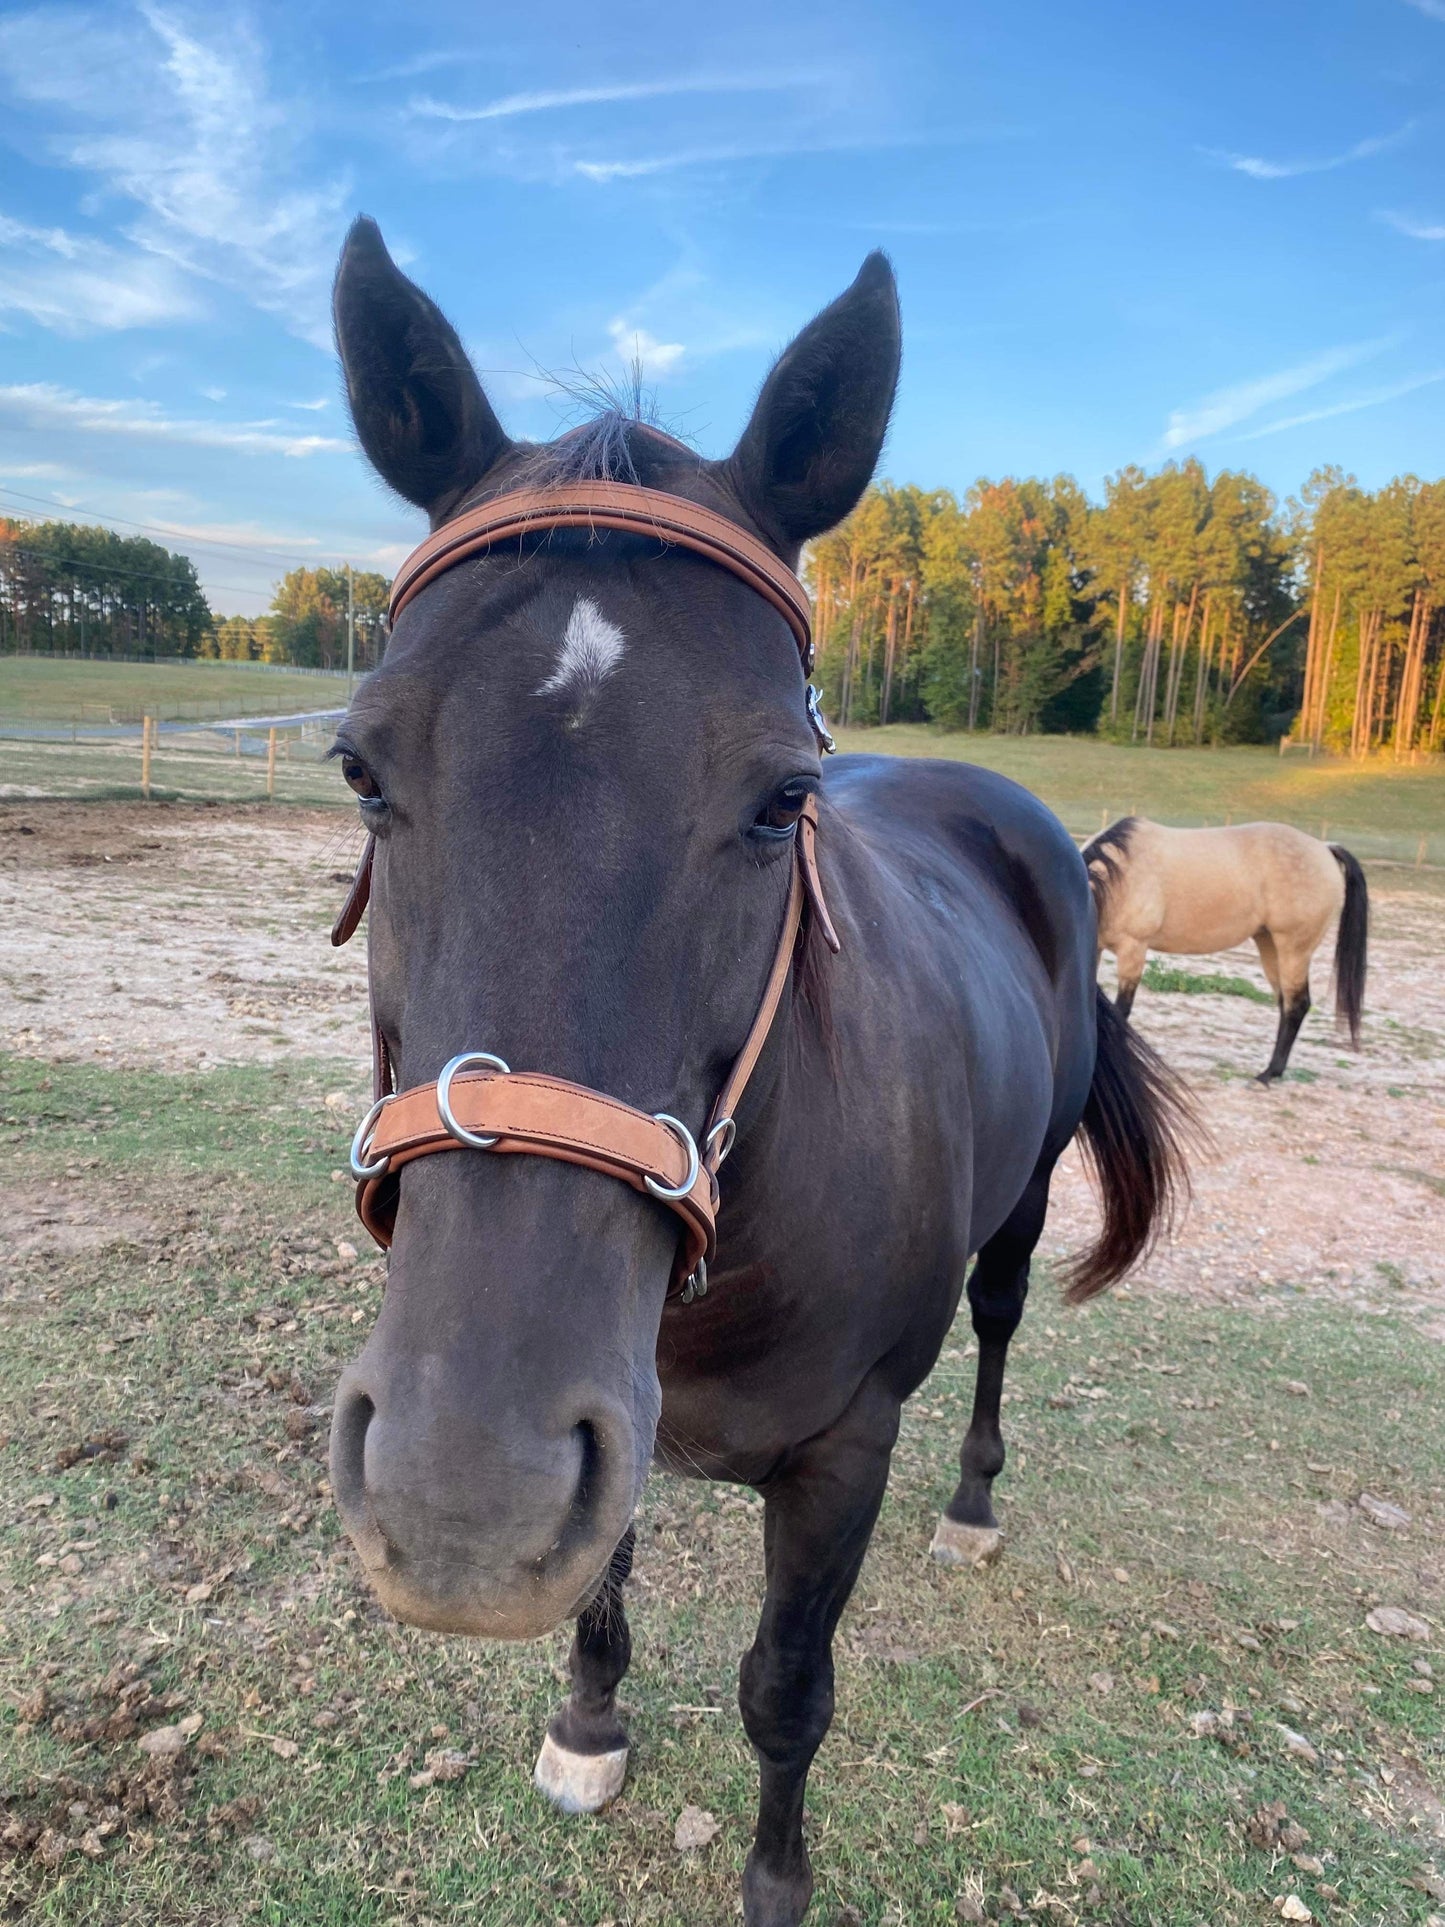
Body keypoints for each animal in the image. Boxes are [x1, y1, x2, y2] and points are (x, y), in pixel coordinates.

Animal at [327, 218, 1202, 1927]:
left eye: (781, 799)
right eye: (362, 768)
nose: (461, 1500)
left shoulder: (842, 1453)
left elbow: (787, 1689)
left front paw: (775, 1879)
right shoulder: (614, 1414)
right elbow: (605, 1583)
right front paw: (588, 1723)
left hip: (1015, 1219)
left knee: (1003, 1326)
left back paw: (976, 1506)